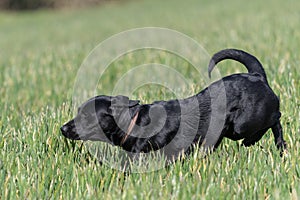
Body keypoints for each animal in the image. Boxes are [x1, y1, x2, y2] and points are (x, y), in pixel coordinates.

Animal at [60, 48, 286, 159]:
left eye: (86, 116)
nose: (62, 128)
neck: (134, 124)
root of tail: (257, 75)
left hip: (242, 125)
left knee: (275, 119)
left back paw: (269, 143)